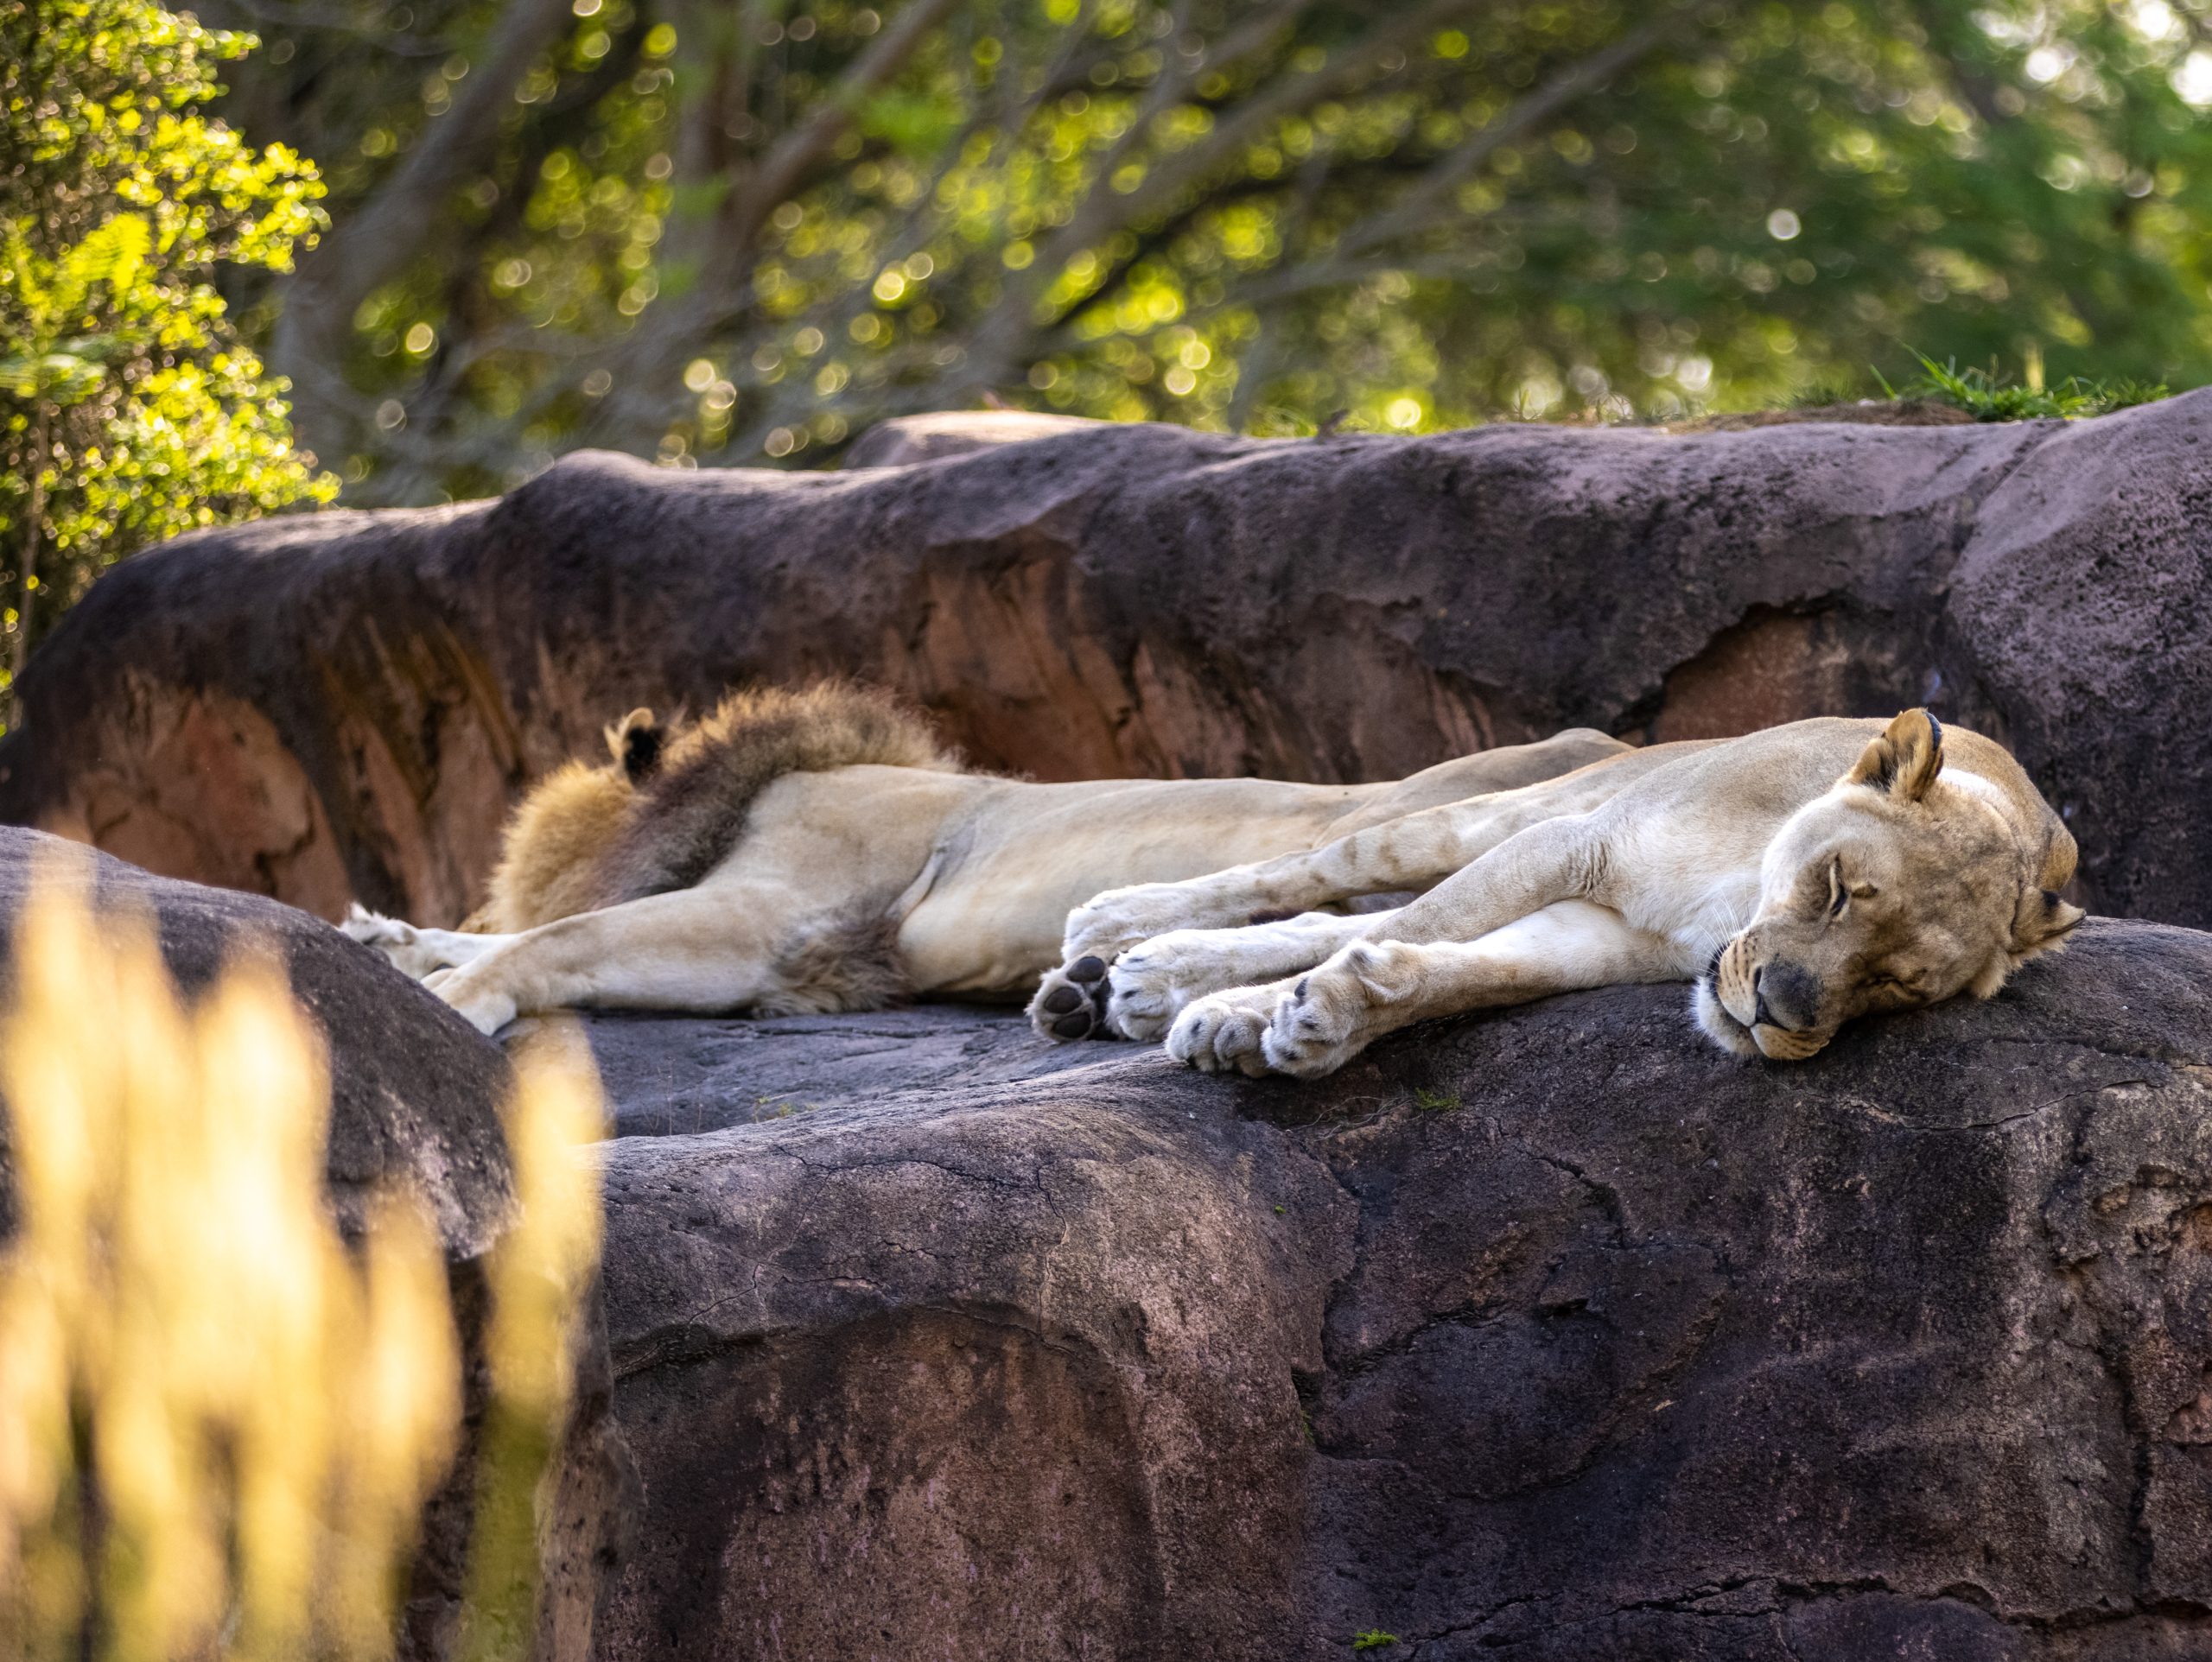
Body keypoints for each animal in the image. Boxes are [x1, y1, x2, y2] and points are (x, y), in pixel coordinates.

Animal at [341, 682, 1628, 1035]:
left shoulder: (769, 922)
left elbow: (553, 937)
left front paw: (455, 998)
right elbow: (534, 931)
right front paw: (397, 943)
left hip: (1455, 802)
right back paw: (1080, 992)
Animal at [1028, 707, 2085, 1077]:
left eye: (1896, 986)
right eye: (1835, 891)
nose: (1775, 1012)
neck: (1740, 897)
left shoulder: (1613, 937)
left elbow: (1462, 970)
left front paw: (1317, 1019)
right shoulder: (1577, 847)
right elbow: (1428, 918)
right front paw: (1237, 1016)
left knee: (1338, 912)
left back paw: (1108, 987)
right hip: (1503, 807)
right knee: (1322, 871)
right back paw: (1119, 937)